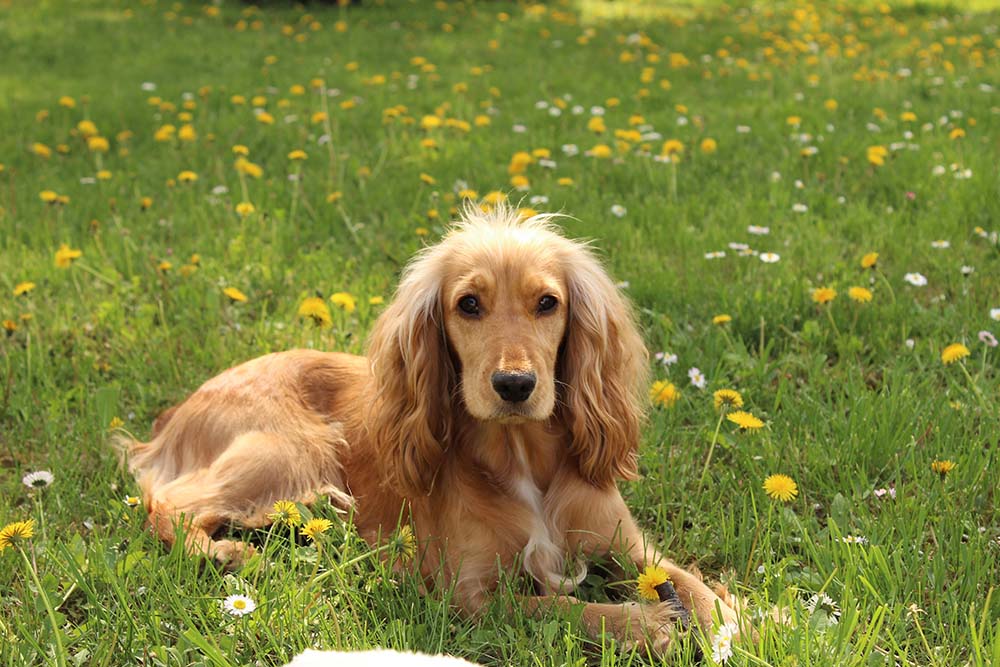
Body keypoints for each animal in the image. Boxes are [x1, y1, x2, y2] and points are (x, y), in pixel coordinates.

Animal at [125, 206, 744, 656]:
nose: (514, 384)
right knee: (169, 506)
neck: (522, 459)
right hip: (291, 450)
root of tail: (176, 412)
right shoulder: (468, 594)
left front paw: (732, 621)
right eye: (467, 304)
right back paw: (228, 553)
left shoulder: (628, 545)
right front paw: (644, 625)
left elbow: (689, 581)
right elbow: (559, 607)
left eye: (548, 303)